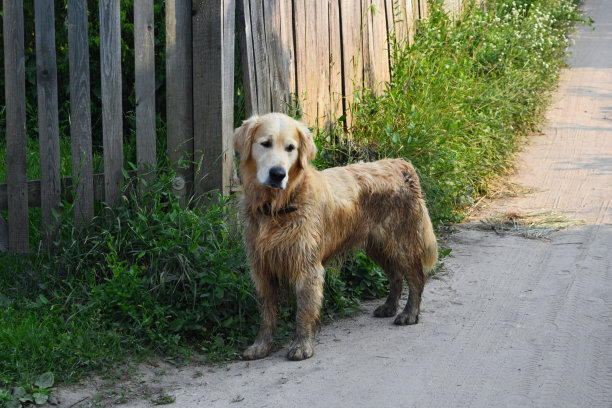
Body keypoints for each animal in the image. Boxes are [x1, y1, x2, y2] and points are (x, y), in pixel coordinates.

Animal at [232, 111, 438, 360]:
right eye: (265, 144)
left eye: (291, 148)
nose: (278, 174)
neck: (278, 205)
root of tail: (402, 164)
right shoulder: (261, 267)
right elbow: (267, 313)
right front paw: (261, 345)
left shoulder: (307, 267)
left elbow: (303, 312)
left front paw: (302, 346)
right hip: (378, 245)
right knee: (396, 276)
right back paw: (389, 307)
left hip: (401, 242)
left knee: (417, 277)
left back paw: (409, 314)